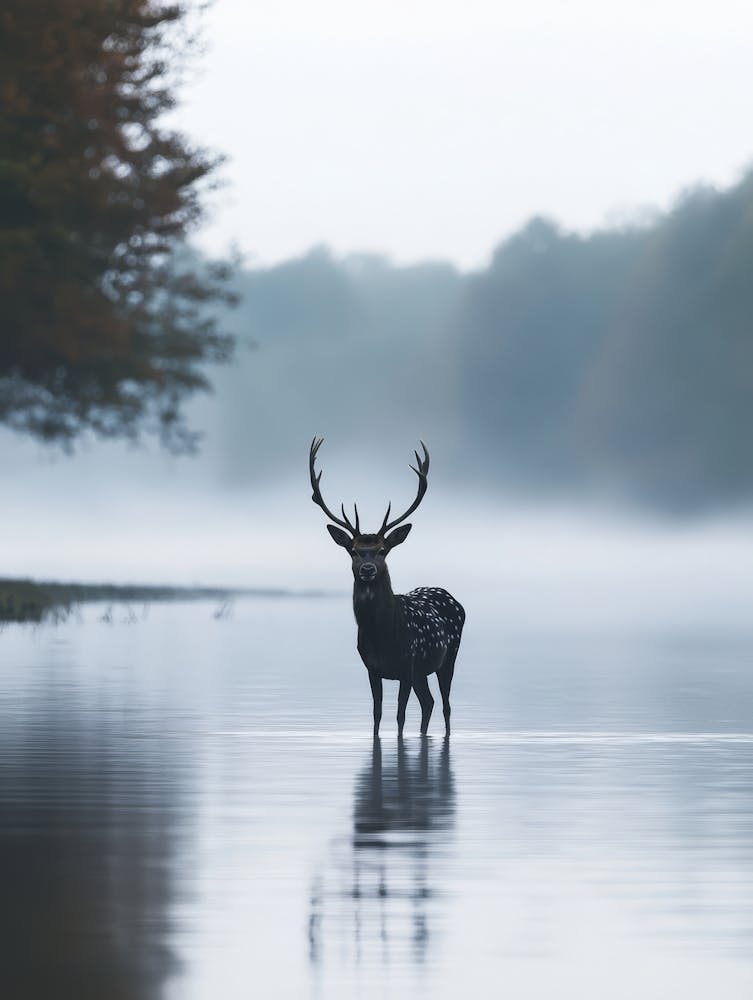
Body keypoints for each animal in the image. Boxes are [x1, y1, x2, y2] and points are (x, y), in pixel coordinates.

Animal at [309, 438, 465, 737]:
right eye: (354, 551)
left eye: (383, 550)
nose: (367, 569)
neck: (382, 636)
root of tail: (455, 600)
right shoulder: (372, 668)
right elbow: (377, 714)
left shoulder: (407, 664)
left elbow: (400, 715)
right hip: (422, 672)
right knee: (428, 702)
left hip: (448, 657)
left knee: (445, 705)